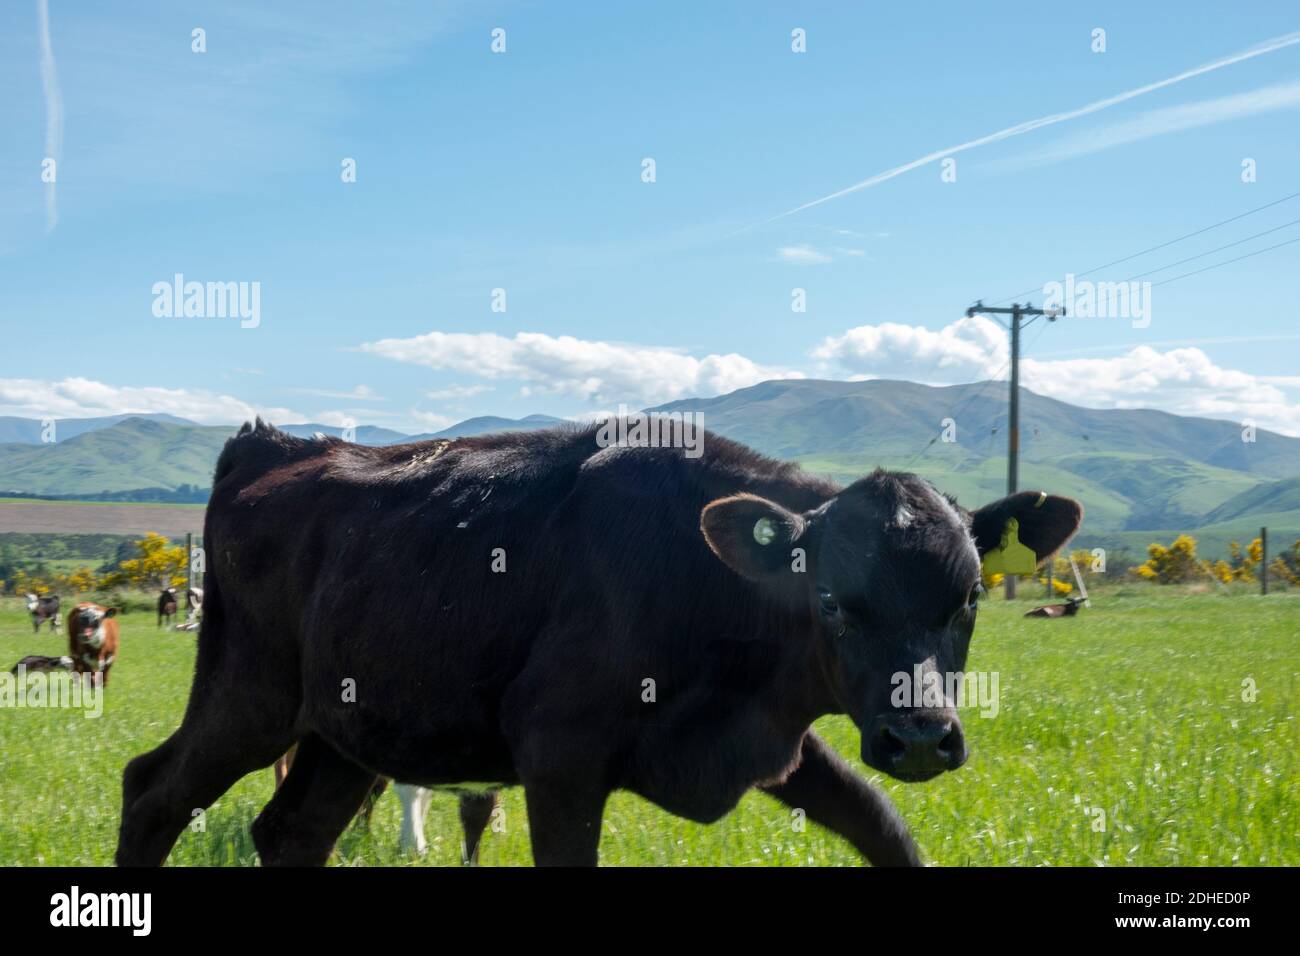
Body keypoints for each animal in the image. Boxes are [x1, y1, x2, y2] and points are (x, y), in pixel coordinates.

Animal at [116, 420, 1081, 867]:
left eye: (969, 598)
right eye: (835, 603)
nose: (919, 738)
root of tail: (277, 443)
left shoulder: (773, 743)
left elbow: (883, 827)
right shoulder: (560, 756)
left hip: (347, 728)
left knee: (293, 831)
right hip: (251, 695)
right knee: (153, 789)